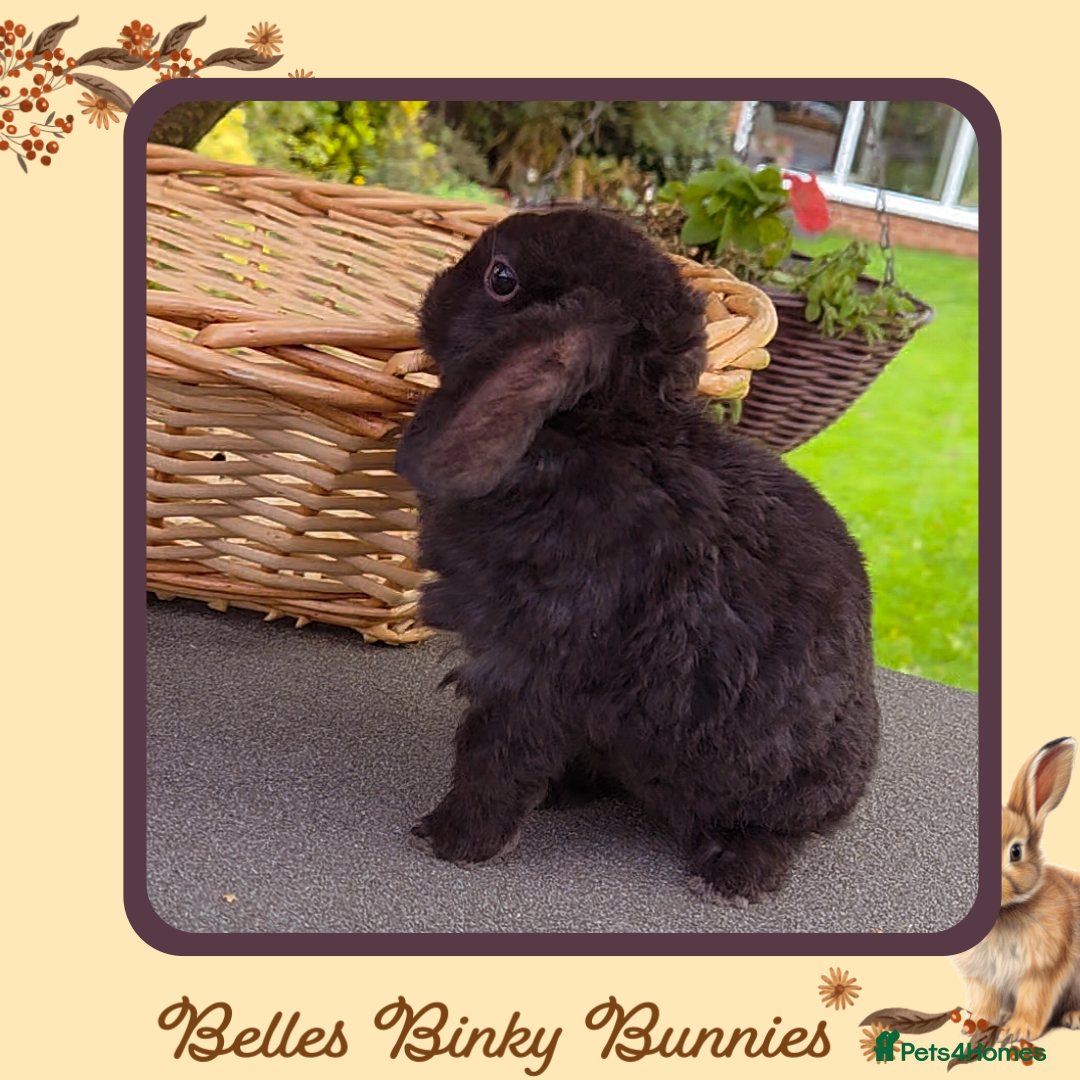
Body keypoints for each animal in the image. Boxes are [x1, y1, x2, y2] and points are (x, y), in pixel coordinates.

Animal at [395, 206, 880, 905]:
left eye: (501, 278)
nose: (431, 294)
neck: (601, 432)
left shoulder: (531, 670)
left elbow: (493, 756)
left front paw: (452, 840)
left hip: (776, 787)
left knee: (776, 833)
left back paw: (732, 876)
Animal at [952, 737, 1080, 1040]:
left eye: (1016, 851)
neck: (1004, 915)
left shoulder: (1041, 971)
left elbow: (1034, 1000)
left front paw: (1017, 1032)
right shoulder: (983, 977)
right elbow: (983, 1001)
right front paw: (973, 1028)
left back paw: (1073, 1018)